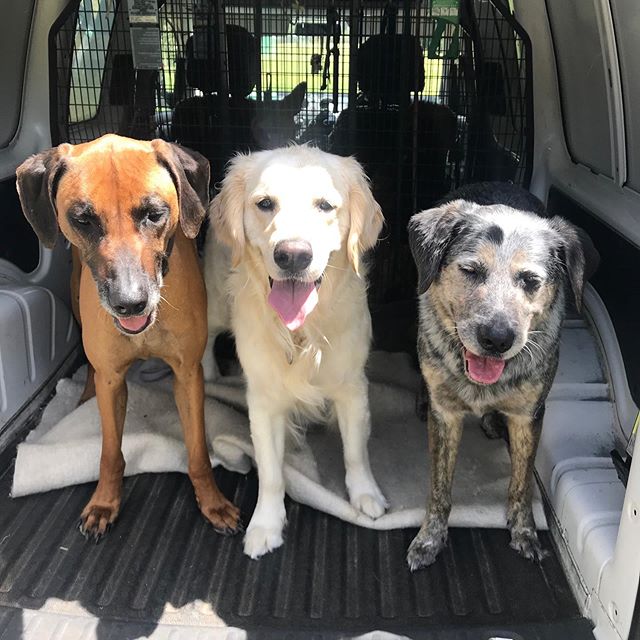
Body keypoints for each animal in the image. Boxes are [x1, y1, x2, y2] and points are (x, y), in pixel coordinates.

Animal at [15, 134, 240, 540]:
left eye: (154, 213)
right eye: (83, 219)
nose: (130, 302)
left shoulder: (187, 374)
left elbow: (198, 450)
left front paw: (212, 502)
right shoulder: (112, 379)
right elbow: (109, 452)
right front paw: (105, 502)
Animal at [206, 145, 384, 556]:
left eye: (325, 205)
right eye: (265, 204)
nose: (292, 255)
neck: (301, 332)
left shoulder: (352, 388)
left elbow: (356, 451)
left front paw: (365, 494)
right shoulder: (263, 402)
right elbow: (271, 472)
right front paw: (266, 524)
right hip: (214, 305)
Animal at [408, 181, 596, 568]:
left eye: (531, 280)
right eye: (471, 270)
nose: (497, 339)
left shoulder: (529, 416)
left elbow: (522, 483)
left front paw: (523, 532)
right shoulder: (445, 416)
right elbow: (439, 486)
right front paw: (430, 537)